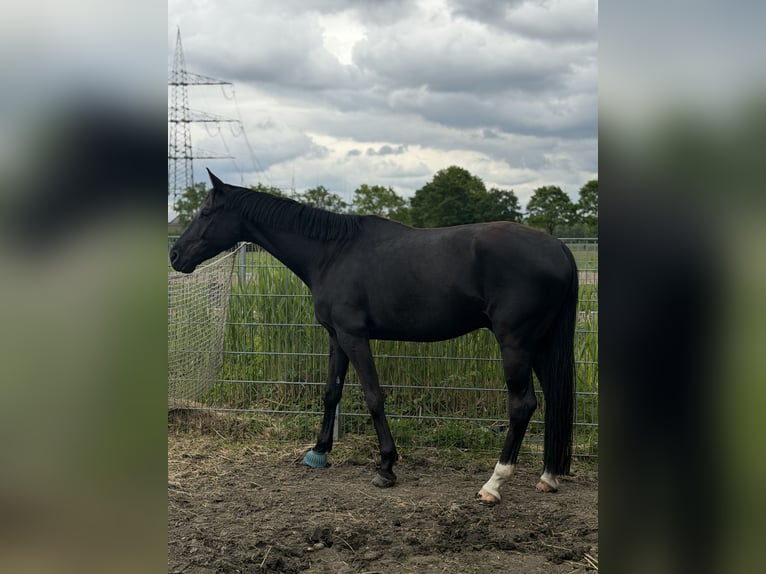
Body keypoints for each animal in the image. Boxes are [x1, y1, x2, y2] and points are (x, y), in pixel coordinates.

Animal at [170, 170, 578, 505]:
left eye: (205, 213)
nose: (175, 255)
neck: (333, 253)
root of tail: (558, 247)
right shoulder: (336, 337)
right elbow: (331, 392)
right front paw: (319, 451)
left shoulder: (354, 336)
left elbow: (373, 397)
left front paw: (386, 466)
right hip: (541, 345)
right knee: (554, 399)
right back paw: (548, 477)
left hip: (515, 345)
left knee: (522, 405)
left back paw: (493, 484)